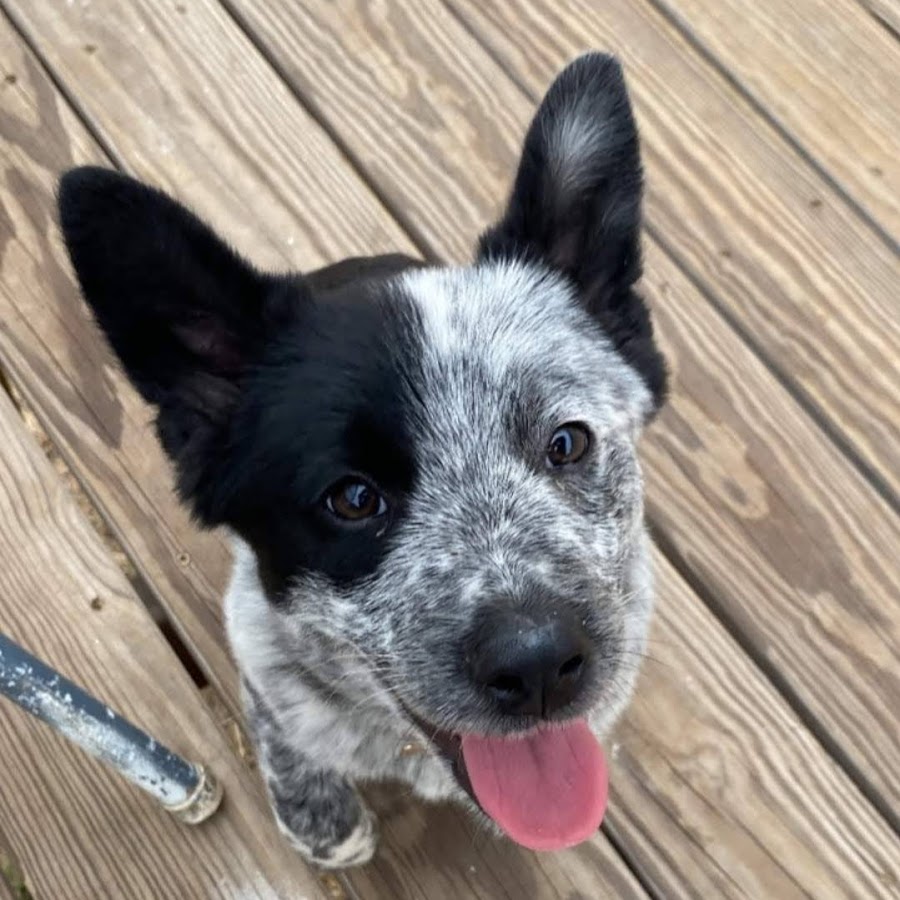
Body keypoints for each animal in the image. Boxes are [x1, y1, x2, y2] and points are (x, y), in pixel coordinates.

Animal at [57, 52, 666, 868]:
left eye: (567, 442)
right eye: (351, 498)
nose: (539, 664)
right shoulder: (257, 645)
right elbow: (284, 732)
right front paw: (323, 823)